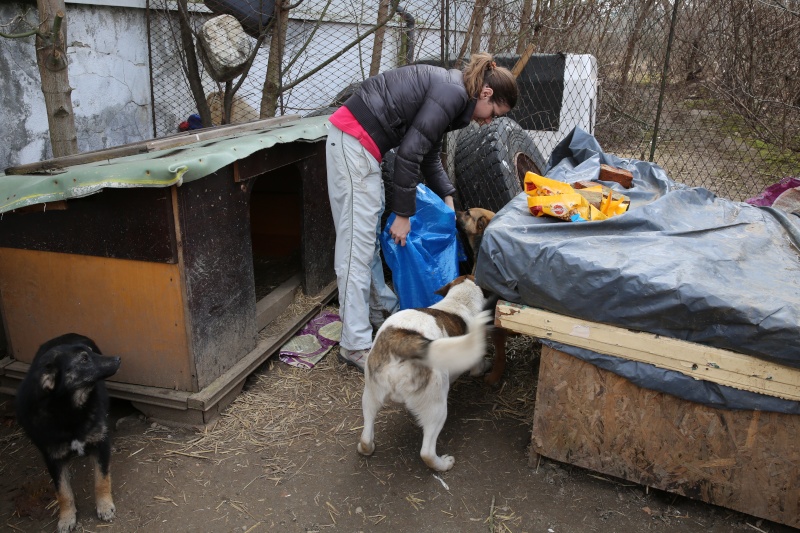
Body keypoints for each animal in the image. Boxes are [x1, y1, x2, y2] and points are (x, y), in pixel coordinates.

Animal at [15, 332, 120, 532]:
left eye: (91, 353)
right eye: (84, 359)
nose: (118, 358)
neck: (69, 412)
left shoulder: (100, 443)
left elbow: (101, 479)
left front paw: (104, 506)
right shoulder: (53, 457)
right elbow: (63, 492)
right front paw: (66, 518)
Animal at [358, 274, 494, 470]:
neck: (459, 301)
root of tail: (402, 342)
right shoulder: (475, 362)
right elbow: (479, 368)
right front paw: (488, 365)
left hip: (369, 395)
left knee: (366, 437)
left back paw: (366, 447)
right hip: (437, 406)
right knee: (427, 452)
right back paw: (443, 464)